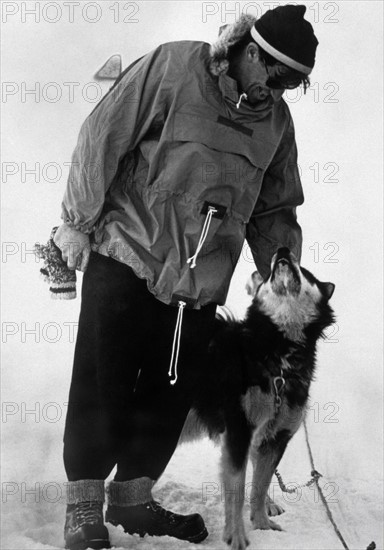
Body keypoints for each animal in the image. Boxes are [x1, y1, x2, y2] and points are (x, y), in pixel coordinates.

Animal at [182, 249, 334, 550]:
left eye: (306, 272)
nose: (283, 250)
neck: (277, 356)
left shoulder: (276, 436)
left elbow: (260, 485)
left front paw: (262, 523)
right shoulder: (239, 431)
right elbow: (238, 490)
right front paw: (236, 536)